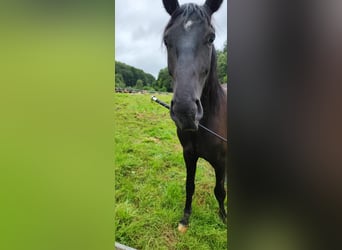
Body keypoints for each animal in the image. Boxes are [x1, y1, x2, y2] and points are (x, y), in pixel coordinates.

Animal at [161, 0, 226, 232]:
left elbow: (220, 191)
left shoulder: (221, 162)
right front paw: (185, 218)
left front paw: (224, 217)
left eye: (211, 38)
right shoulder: (189, 155)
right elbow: (189, 185)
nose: (185, 111)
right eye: (167, 39)